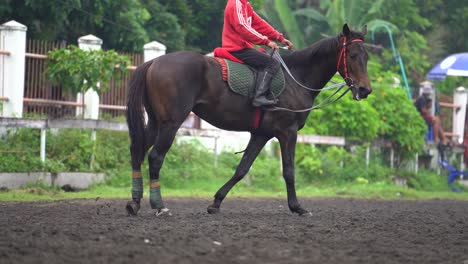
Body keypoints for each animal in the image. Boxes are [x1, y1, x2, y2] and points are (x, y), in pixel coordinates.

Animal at [125, 23, 372, 216]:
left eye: (367, 57)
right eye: (352, 55)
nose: (365, 90)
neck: (297, 77)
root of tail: (154, 62)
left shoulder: (261, 134)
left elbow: (242, 169)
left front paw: (216, 202)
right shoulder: (288, 132)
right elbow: (289, 171)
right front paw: (297, 207)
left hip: (155, 123)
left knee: (137, 151)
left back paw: (135, 203)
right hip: (171, 124)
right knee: (156, 157)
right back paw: (159, 205)